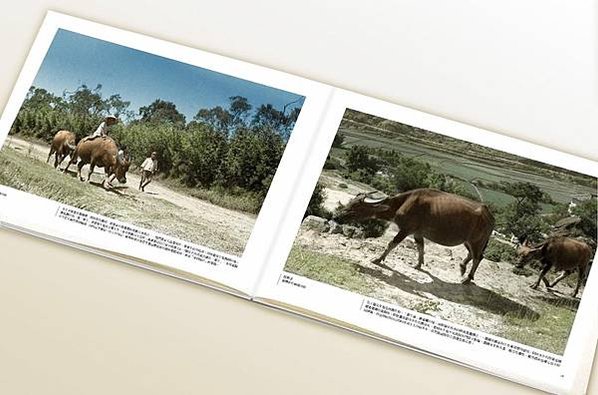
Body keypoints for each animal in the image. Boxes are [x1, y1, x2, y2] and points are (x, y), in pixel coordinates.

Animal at [338, 189, 496, 284]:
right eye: (350, 202)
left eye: (356, 206)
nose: (338, 216)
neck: (404, 202)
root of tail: (489, 215)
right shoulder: (417, 233)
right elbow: (420, 247)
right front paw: (419, 264)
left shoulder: (406, 230)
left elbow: (392, 243)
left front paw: (378, 259)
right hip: (467, 241)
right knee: (472, 255)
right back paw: (462, 267)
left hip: (477, 241)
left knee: (478, 257)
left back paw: (467, 279)